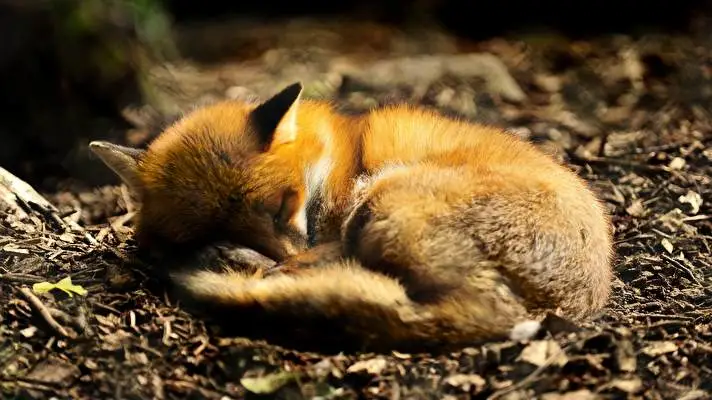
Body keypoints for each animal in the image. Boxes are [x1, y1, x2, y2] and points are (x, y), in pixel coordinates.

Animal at [89, 82, 614, 352]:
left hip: (384, 200)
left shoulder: (339, 215)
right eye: (211, 224)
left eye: (283, 204)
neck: (338, 157)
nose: (278, 257)